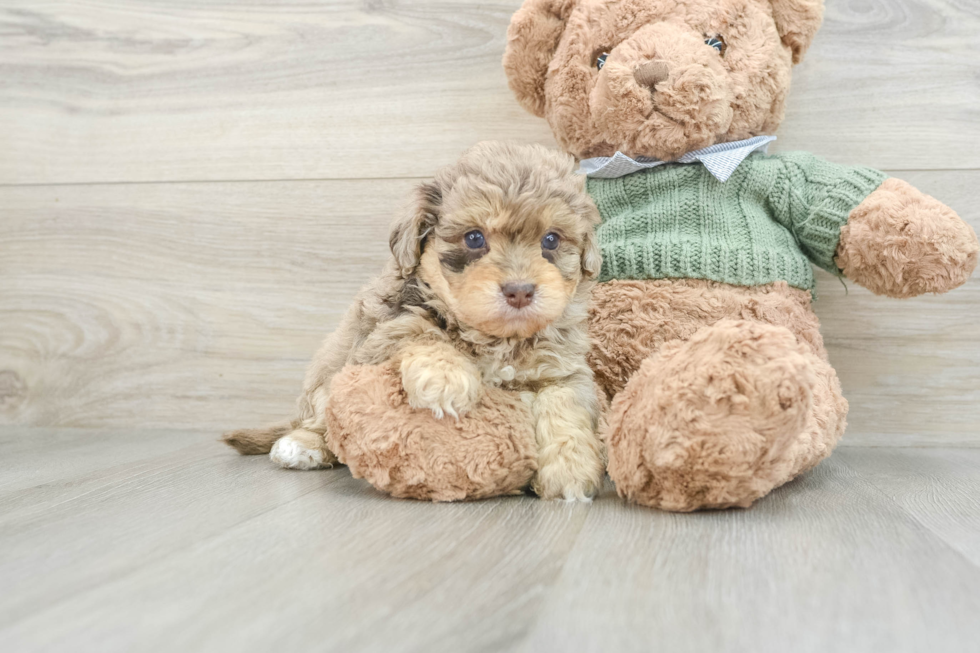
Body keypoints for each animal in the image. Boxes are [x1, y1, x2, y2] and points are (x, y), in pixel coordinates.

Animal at [224, 141, 604, 500]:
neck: (495, 338)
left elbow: (564, 405)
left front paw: (570, 470)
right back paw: (302, 445)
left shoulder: (563, 370)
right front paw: (446, 378)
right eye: (474, 238)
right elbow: (421, 333)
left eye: (551, 239)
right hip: (326, 382)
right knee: (323, 422)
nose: (520, 291)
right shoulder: (380, 335)